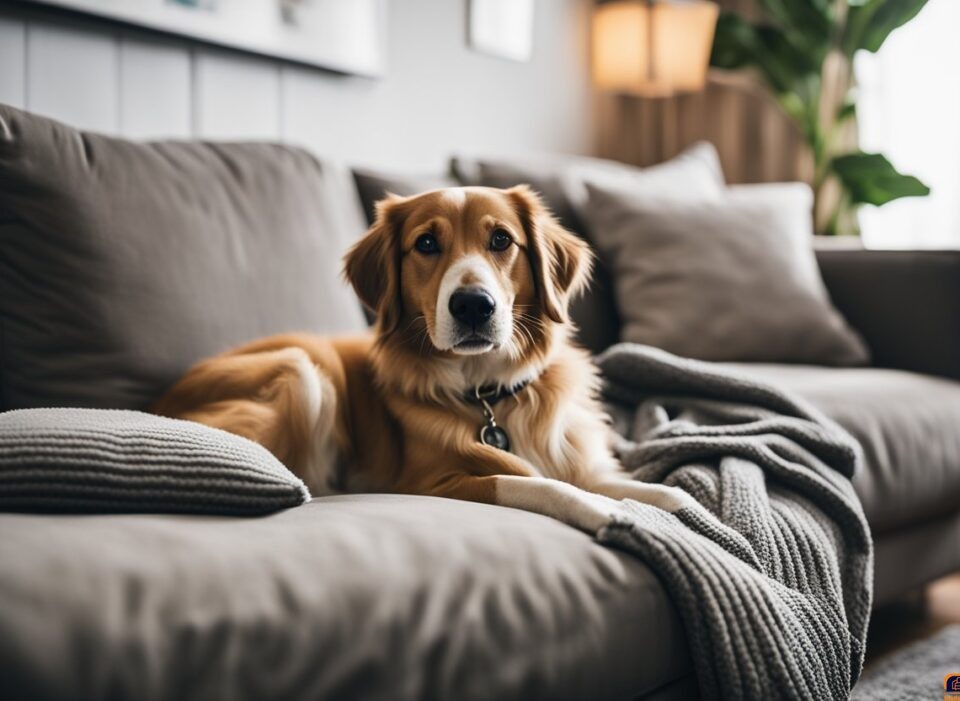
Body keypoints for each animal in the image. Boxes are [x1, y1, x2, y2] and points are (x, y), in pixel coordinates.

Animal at [154, 186, 688, 532]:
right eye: (426, 243)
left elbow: (623, 481)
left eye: (501, 240)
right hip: (303, 372)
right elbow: (541, 484)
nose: (472, 305)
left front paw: (676, 499)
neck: (488, 394)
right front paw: (605, 511)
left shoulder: (578, 456)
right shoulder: (432, 482)